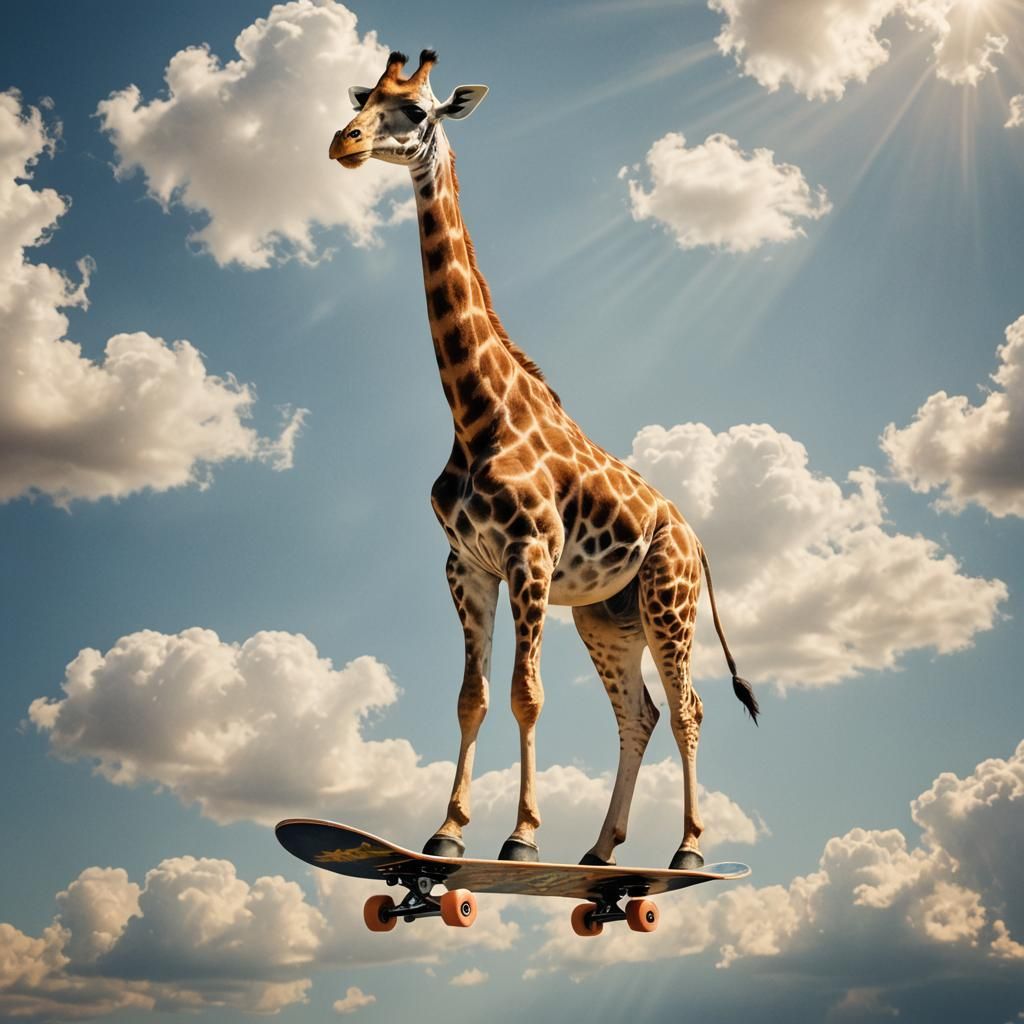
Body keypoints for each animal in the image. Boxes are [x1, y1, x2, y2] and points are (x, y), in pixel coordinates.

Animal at [330, 50, 759, 869]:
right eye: (363, 98)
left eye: (418, 111)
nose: (343, 142)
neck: (476, 415)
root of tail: (697, 540)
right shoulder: (466, 565)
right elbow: (473, 697)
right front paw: (448, 830)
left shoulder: (529, 552)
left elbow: (526, 693)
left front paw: (521, 837)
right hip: (606, 616)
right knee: (640, 712)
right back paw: (599, 850)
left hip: (669, 598)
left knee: (687, 706)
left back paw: (687, 851)